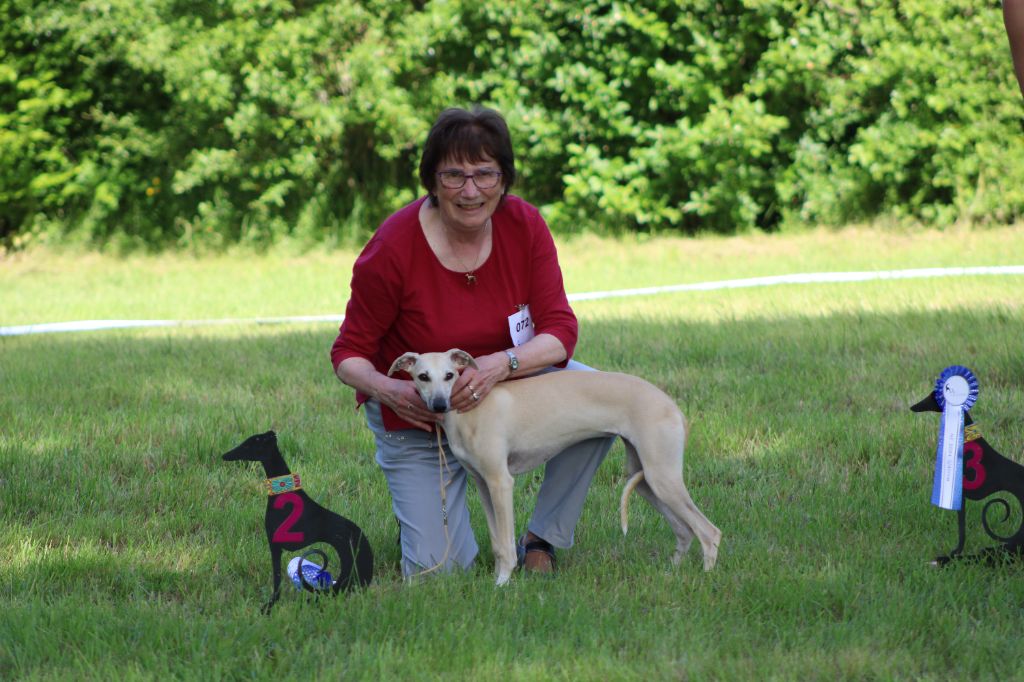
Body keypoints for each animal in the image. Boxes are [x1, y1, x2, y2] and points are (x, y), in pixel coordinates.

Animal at [389, 348, 720, 581]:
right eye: (422, 377)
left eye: (450, 375)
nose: (439, 405)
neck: (471, 412)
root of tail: (672, 406)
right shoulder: (483, 485)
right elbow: (497, 542)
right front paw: (496, 579)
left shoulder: (500, 482)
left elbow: (507, 545)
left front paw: (502, 584)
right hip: (648, 480)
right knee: (684, 530)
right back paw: (671, 573)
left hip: (662, 477)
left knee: (708, 531)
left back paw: (705, 578)